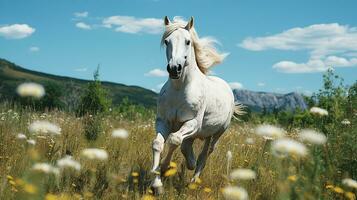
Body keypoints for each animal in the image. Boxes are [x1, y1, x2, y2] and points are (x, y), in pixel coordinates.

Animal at [150, 16, 242, 190]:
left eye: (188, 42)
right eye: (166, 41)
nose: (174, 68)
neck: (179, 89)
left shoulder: (193, 123)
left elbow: (174, 140)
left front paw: (164, 168)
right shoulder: (163, 121)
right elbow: (158, 143)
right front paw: (156, 183)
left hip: (216, 134)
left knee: (204, 155)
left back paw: (193, 180)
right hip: (201, 133)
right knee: (188, 147)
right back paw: (190, 163)